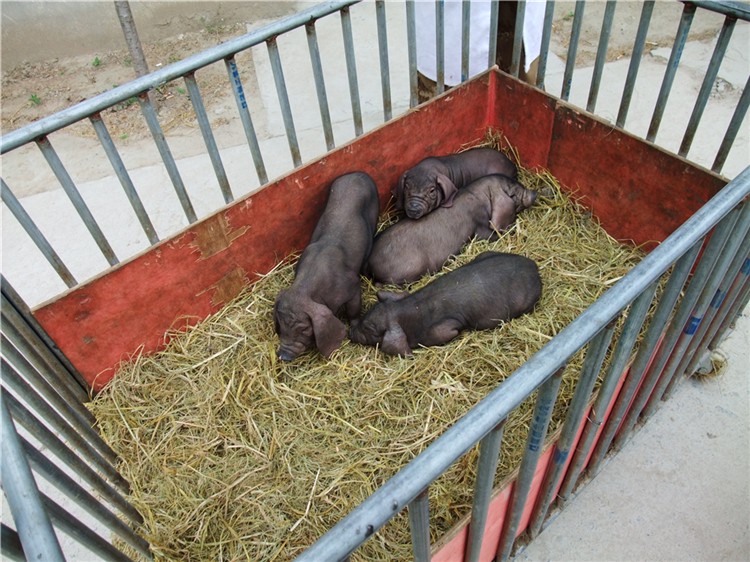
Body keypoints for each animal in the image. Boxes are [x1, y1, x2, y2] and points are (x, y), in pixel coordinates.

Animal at [274, 170, 382, 358]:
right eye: (281, 324)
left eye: (304, 329)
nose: (284, 355)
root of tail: (358, 173)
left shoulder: (352, 286)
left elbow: (354, 309)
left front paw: (353, 327)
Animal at [368, 172, 536, 284]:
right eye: (513, 193)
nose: (534, 193)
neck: (481, 196)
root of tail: (368, 264)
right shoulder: (479, 224)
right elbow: (488, 235)